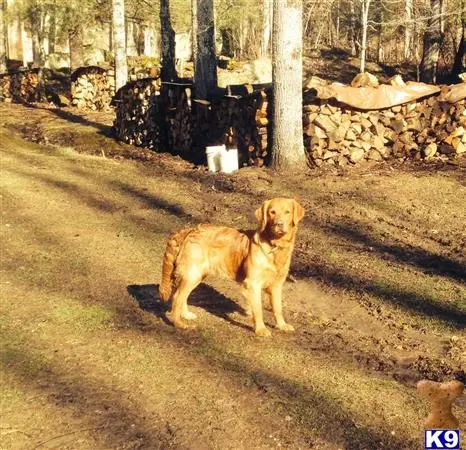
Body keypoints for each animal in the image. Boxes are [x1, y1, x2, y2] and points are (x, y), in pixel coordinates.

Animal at [159, 199, 306, 336]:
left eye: (287, 212)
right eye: (272, 212)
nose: (279, 224)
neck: (274, 246)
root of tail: (188, 230)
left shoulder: (277, 285)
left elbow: (278, 308)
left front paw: (282, 325)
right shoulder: (253, 283)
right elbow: (258, 309)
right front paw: (261, 329)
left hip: (197, 275)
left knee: (182, 295)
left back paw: (185, 315)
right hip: (193, 273)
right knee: (177, 297)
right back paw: (179, 323)